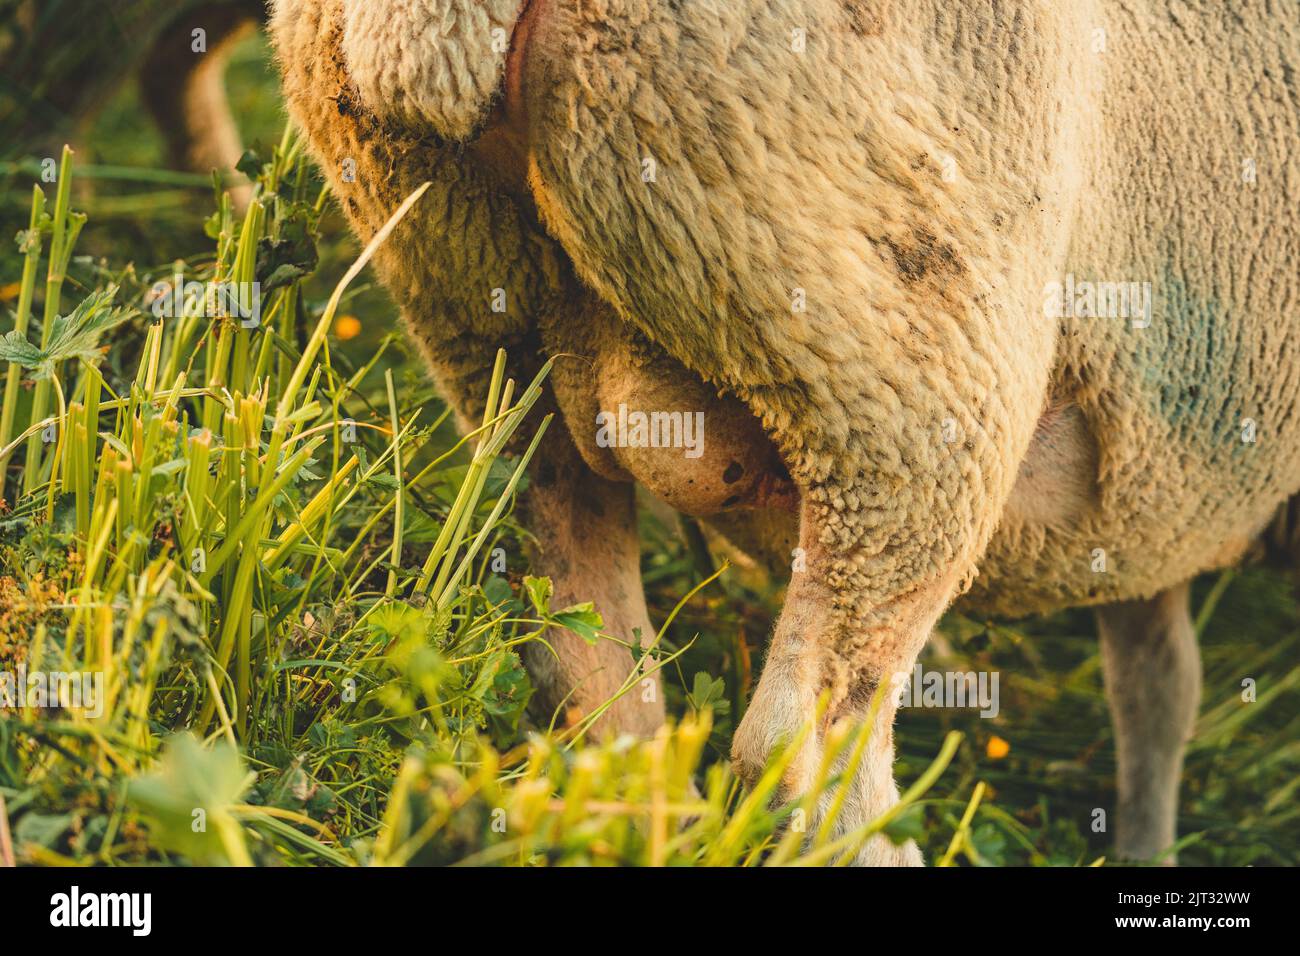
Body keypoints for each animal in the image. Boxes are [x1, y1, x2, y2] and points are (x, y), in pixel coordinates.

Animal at [270, 0, 1300, 865]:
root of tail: (435, 24)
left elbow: (1156, 682)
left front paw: (1145, 842)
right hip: (904, 371)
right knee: (803, 755)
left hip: (480, 317)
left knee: (593, 685)